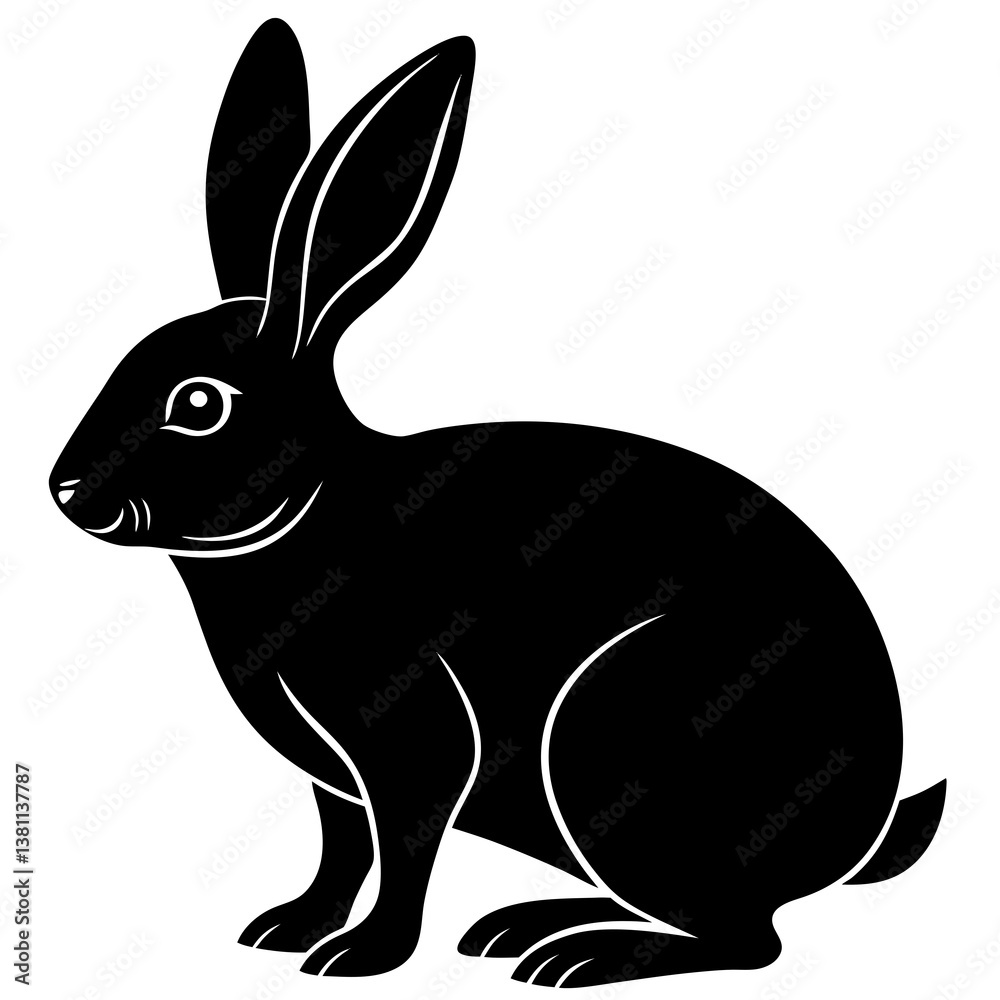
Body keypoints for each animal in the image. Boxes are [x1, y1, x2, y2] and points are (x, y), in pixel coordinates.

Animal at [51, 18, 947, 986]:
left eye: (199, 404)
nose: (65, 491)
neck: (311, 507)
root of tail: (863, 831)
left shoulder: (414, 744)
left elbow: (403, 850)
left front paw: (359, 957)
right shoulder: (333, 779)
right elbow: (341, 851)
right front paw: (288, 929)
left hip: (616, 746)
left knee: (749, 941)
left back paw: (576, 959)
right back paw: (523, 929)